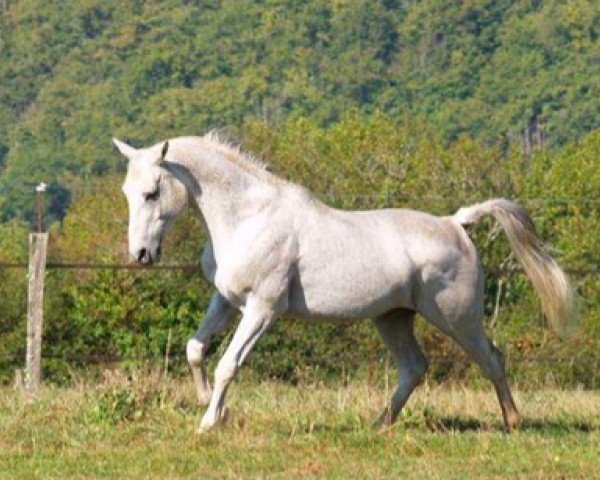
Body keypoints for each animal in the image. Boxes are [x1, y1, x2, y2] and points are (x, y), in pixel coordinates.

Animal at [113, 134, 576, 432]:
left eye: (152, 192)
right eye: (126, 192)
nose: (141, 255)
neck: (249, 218)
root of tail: (456, 223)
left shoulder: (263, 308)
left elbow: (229, 362)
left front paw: (209, 423)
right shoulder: (226, 301)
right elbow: (195, 349)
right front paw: (208, 405)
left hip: (456, 316)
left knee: (491, 358)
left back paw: (512, 421)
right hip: (393, 317)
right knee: (414, 367)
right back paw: (380, 425)